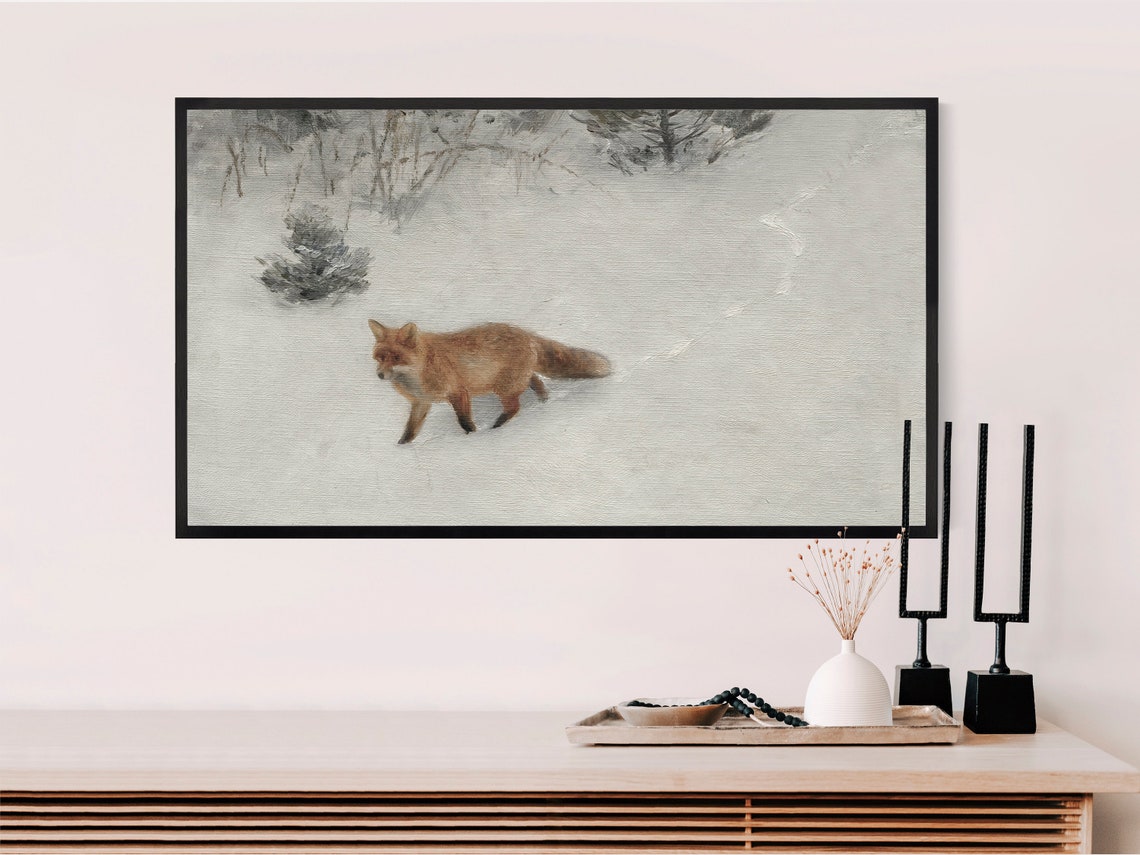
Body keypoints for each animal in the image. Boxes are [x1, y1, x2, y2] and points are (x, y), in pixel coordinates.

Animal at [368, 319, 611, 444]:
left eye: (396, 357)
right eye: (380, 357)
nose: (380, 375)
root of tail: (525, 333)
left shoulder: (458, 392)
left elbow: (465, 422)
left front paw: (473, 439)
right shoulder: (421, 402)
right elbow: (409, 432)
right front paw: (401, 449)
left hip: (504, 388)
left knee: (514, 407)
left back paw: (496, 428)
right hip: (515, 380)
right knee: (536, 382)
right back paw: (543, 402)